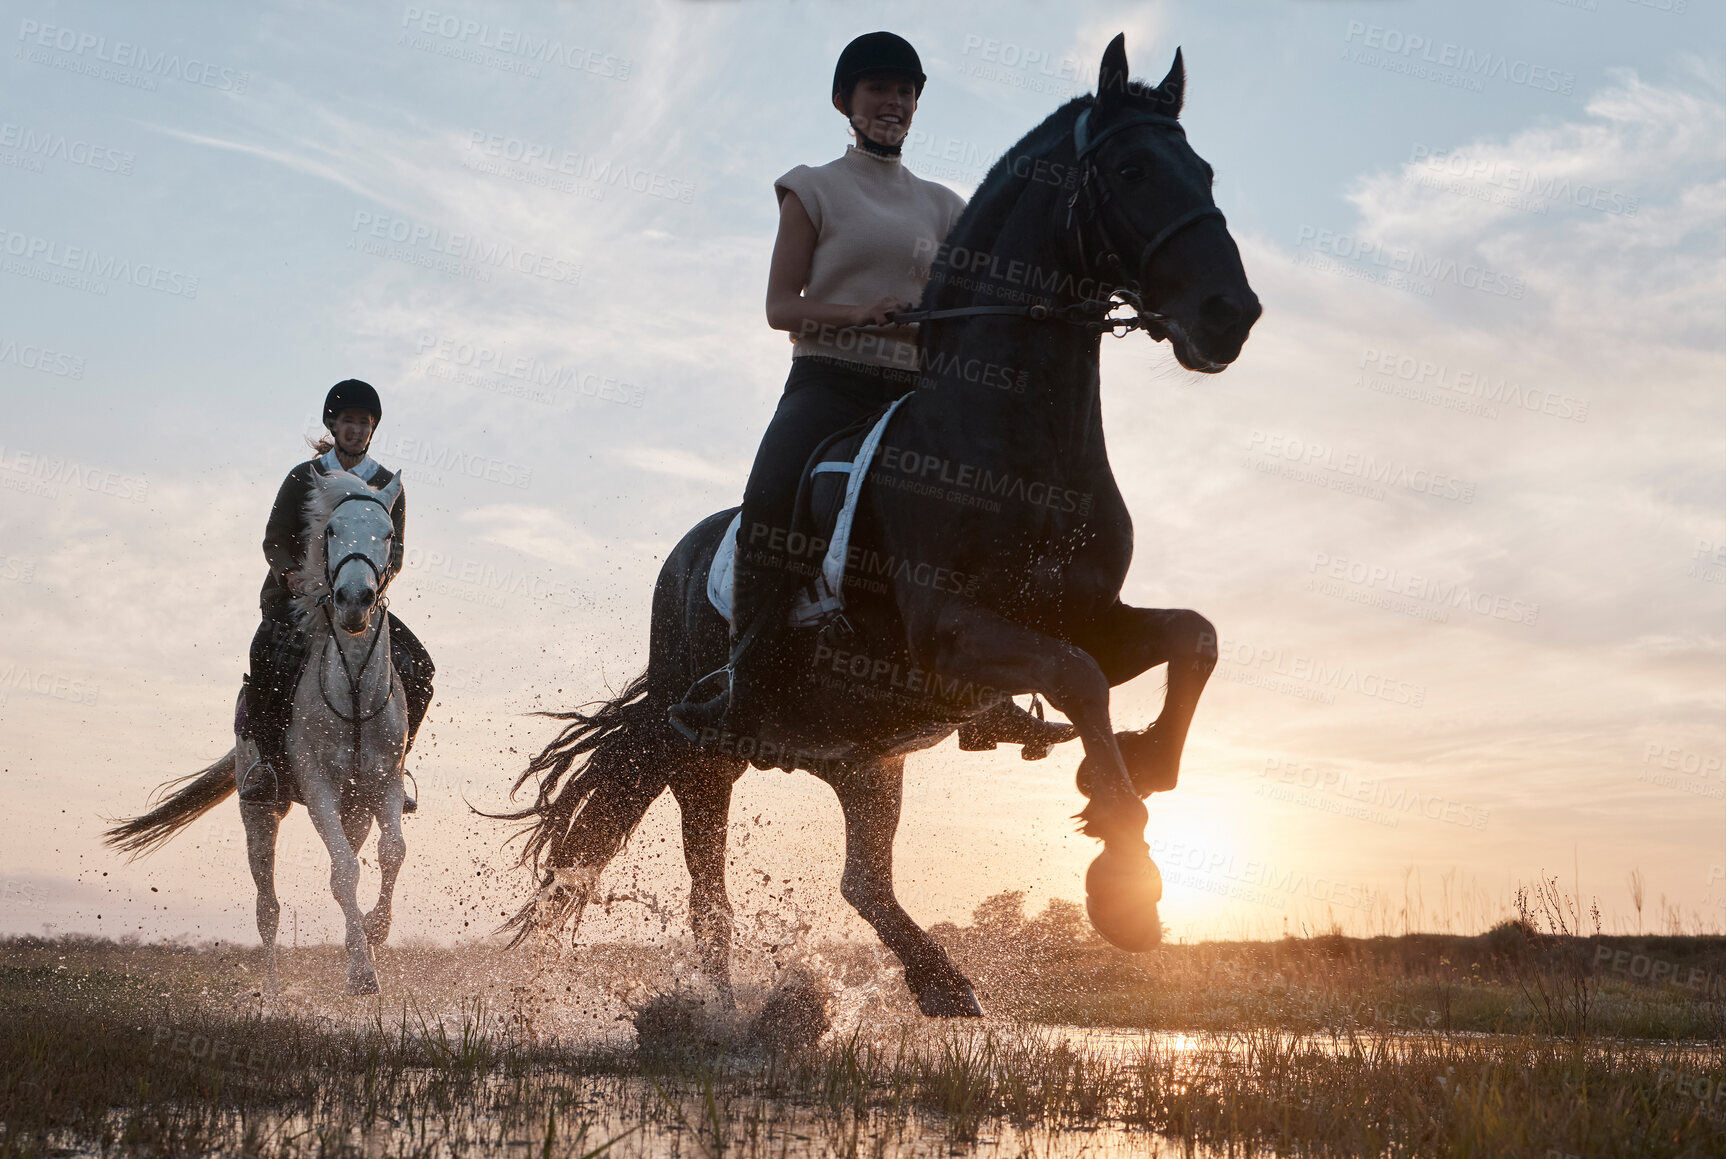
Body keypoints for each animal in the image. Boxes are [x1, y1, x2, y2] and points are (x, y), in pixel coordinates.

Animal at [107, 469, 410, 994]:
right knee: (268, 907)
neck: (352, 684)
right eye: (330, 529)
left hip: (354, 809)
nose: (354, 602)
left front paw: (374, 932)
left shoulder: (383, 783)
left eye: (389, 534)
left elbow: (391, 853)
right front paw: (361, 973)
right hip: (261, 810)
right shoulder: (318, 784)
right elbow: (344, 872)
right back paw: (272, 996)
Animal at [493, 36, 1263, 1015]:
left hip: (864, 758)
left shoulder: (1085, 616)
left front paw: (1132, 772)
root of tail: (684, 556)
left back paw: (940, 981)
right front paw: (1124, 865)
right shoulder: (954, 636)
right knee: (712, 897)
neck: (1014, 439)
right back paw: (724, 1020)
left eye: (1204, 171)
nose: (1230, 315)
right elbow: (1081, 678)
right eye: (1130, 170)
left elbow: (1192, 638)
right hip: (704, 750)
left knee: (863, 879)